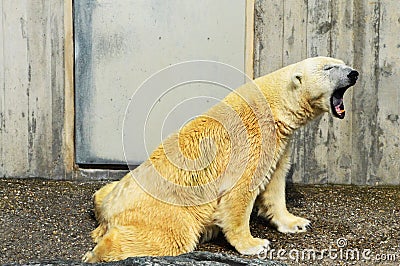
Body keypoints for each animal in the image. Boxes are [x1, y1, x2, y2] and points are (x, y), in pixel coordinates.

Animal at [83, 56, 358, 262]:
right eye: (329, 67)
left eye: (343, 62)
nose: (354, 73)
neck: (274, 106)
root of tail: (109, 211)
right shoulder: (251, 140)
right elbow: (240, 192)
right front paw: (255, 244)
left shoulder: (279, 143)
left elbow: (275, 184)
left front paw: (297, 222)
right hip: (167, 209)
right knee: (170, 237)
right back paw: (96, 253)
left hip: (116, 193)